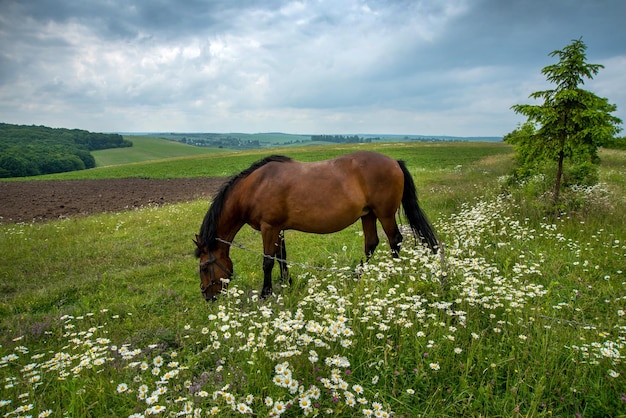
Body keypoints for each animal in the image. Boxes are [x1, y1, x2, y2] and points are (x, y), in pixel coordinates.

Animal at [193, 150, 436, 300]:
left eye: (204, 267)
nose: (207, 296)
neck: (255, 187)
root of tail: (395, 162)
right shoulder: (278, 228)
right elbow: (282, 257)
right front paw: (288, 283)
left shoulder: (269, 227)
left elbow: (268, 261)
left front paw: (265, 293)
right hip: (368, 215)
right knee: (371, 244)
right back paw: (357, 276)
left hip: (384, 214)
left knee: (395, 241)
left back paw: (394, 275)